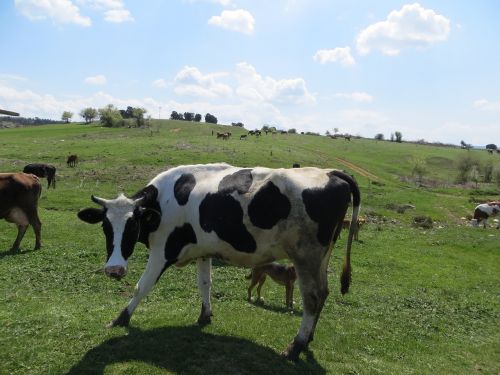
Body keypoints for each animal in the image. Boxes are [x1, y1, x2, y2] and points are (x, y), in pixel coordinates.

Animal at [77, 162, 360, 362]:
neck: (164, 200)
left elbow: (141, 287)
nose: (114, 269)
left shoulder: (162, 251)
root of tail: (331, 172)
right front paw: (204, 315)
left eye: (133, 225)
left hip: (306, 256)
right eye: (105, 227)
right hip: (322, 256)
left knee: (312, 298)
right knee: (323, 293)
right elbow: (205, 284)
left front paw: (121, 318)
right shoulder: (203, 252)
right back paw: (308, 338)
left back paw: (295, 346)